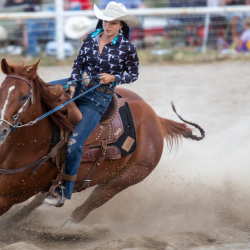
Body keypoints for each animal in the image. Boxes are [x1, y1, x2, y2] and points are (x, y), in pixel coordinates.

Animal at [0, 59, 203, 226]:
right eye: (1, 91)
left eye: (24, 97)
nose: (2, 128)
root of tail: (156, 119)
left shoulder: (11, 196)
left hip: (121, 181)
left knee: (82, 211)